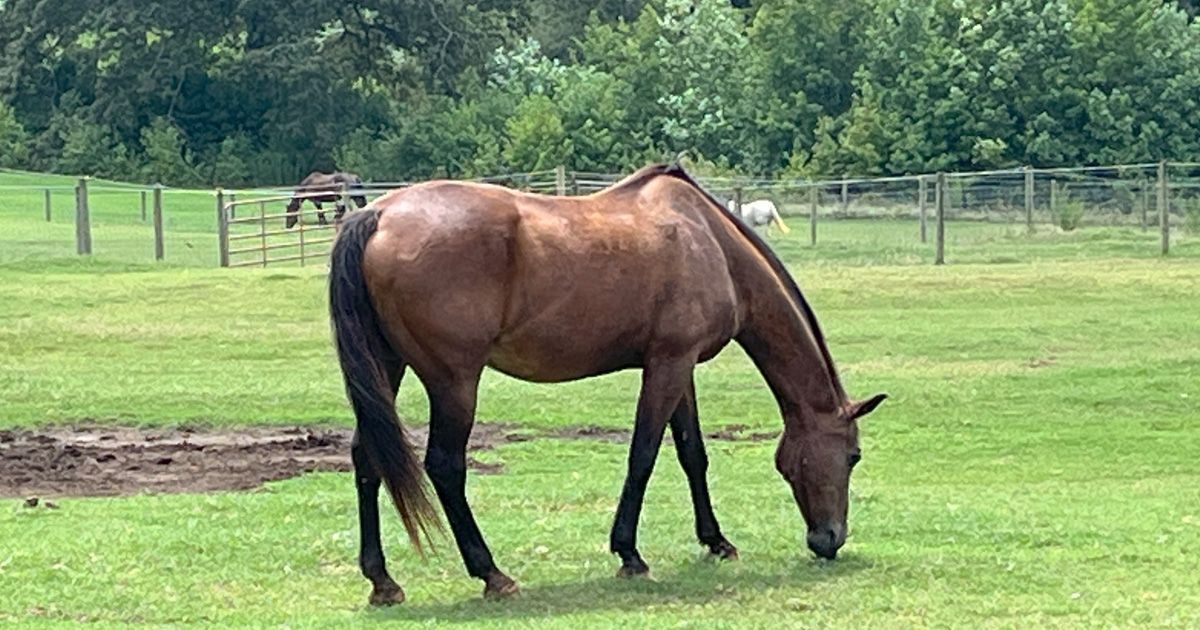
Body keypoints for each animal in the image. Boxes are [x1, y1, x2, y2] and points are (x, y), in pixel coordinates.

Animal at [328, 161, 886, 605]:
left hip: (387, 369)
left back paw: (382, 581)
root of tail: (379, 216)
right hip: (454, 382)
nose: (830, 539)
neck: (711, 243)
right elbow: (643, 455)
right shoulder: (668, 364)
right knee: (445, 467)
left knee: (366, 457)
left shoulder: (678, 367)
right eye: (853, 455)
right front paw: (629, 553)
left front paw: (715, 541)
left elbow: (692, 455)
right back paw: (492, 573)